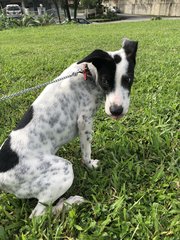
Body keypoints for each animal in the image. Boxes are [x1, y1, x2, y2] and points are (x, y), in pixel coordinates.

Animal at [0, 38, 138, 218]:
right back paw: (70, 203)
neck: (88, 75)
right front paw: (90, 165)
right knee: (37, 216)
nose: (116, 111)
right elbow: (86, 152)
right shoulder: (84, 121)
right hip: (63, 170)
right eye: (106, 81)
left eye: (128, 80)